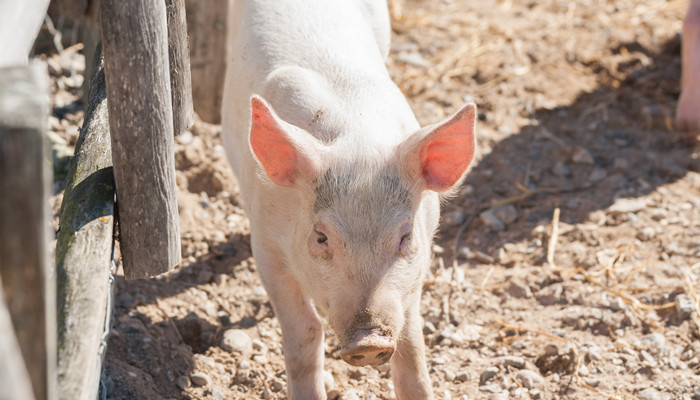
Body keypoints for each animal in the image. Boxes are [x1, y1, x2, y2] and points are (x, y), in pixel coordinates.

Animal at [221, 0, 478, 400]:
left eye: (405, 237)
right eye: (321, 238)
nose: (369, 341)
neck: (356, 138)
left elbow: (411, 340)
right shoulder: (264, 243)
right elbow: (304, 330)